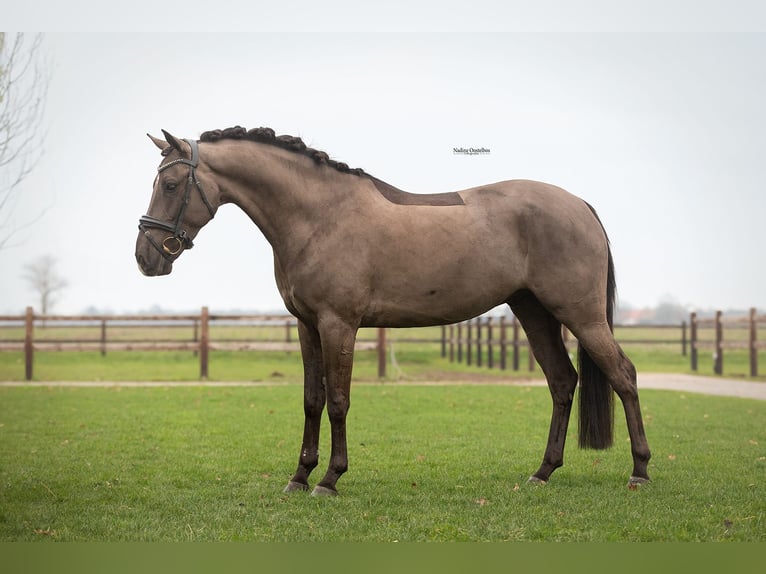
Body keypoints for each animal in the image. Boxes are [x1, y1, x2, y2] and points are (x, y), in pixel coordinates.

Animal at [136, 126, 651, 495]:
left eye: (171, 183)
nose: (146, 257)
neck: (319, 216)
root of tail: (579, 205)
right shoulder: (307, 327)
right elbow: (312, 400)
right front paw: (299, 477)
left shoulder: (339, 325)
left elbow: (339, 401)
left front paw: (329, 480)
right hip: (534, 312)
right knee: (563, 382)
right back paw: (542, 472)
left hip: (581, 315)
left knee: (623, 376)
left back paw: (640, 471)